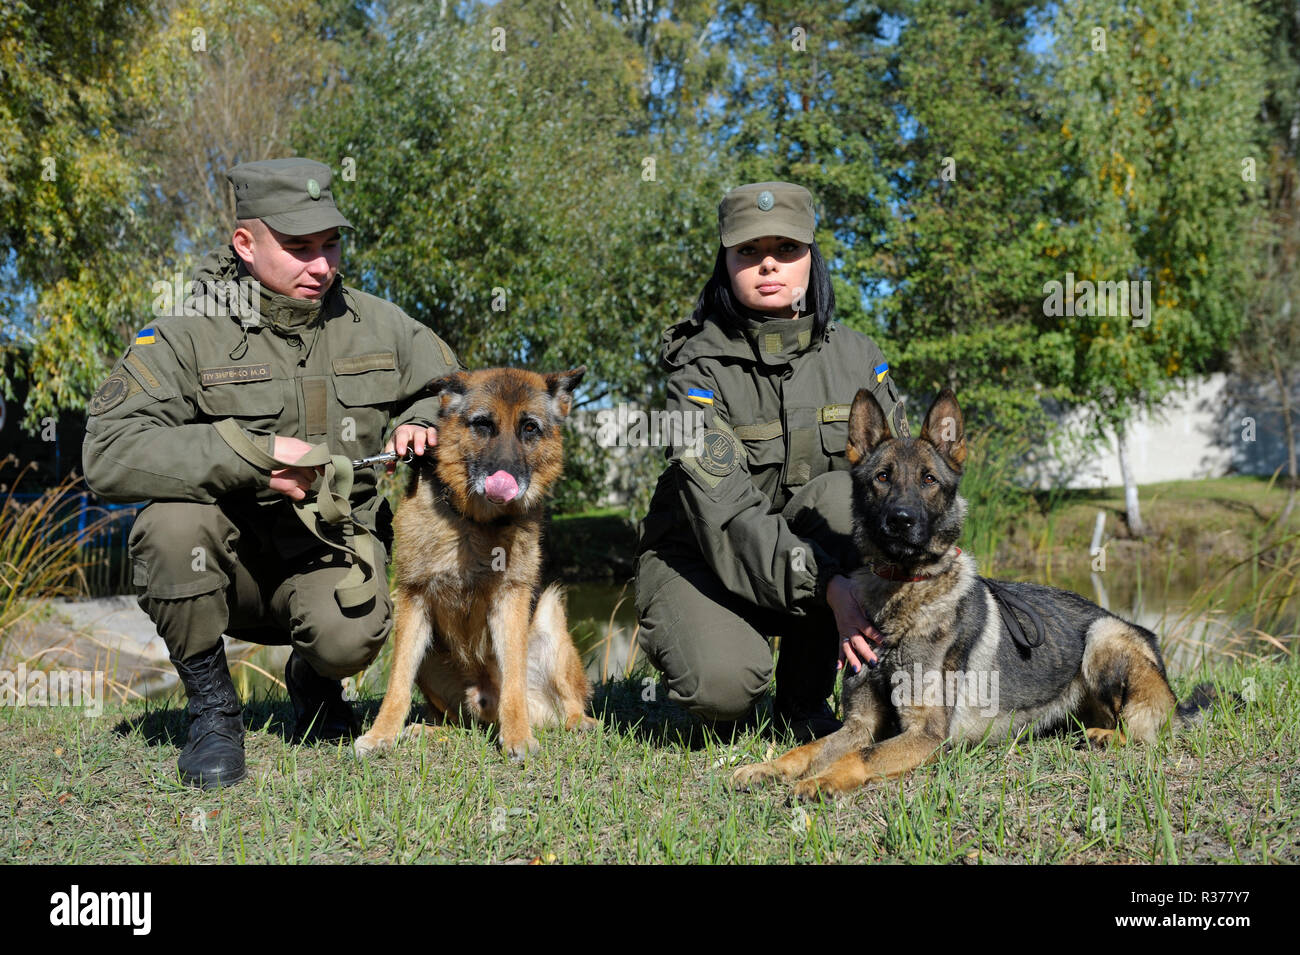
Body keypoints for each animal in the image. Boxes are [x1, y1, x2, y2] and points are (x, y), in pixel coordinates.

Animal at [356, 366, 598, 764]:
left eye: (529, 428)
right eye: (483, 424)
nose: (504, 479)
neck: (476, 522)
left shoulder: (511, 600)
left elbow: (513, 679)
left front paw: (517, 738)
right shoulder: (412, 599)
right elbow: (397, 683)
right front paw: (380, 735)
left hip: (550, 617)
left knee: (568, 704)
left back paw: (577, 723)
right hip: (431, 659)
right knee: (462, 723)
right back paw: (426, 731)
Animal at [733, 389, 1216, 800]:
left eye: (929, 479)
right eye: (882, 478)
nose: (901, 521)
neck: (904, 596)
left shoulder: (923, 735)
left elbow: (860, 757)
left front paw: (821, 781)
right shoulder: (860, 723)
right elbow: (809, 749)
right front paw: (768, 768)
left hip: (1103, 638)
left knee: (1145, 732)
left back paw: (1107, 737)